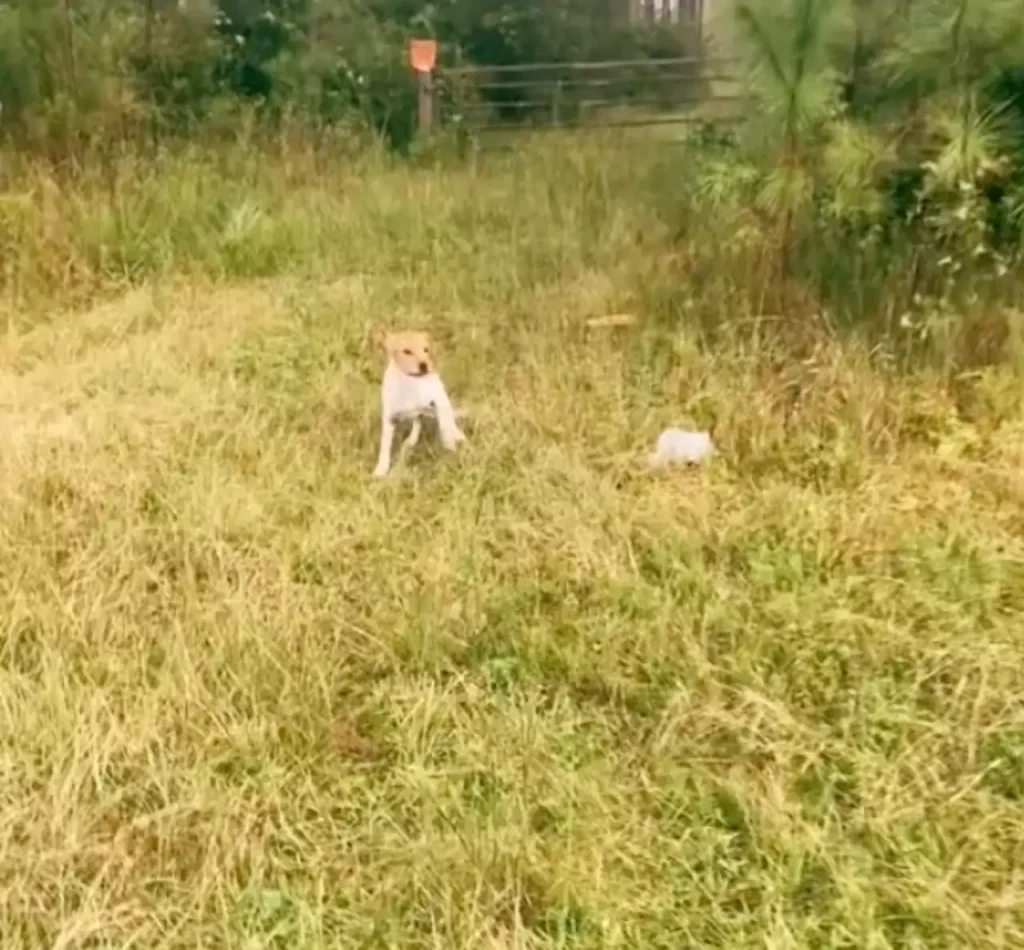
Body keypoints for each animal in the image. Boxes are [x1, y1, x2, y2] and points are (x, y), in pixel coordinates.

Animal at [374, 331, 466, 479]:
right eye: (407, 351)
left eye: (426, 350)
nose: (424, 365)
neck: (410, 382)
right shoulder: (389, 417)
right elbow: (385, 446)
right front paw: (381, 470)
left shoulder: (439, 400)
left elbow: (445, 427)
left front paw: (450, 445)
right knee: (417, 423)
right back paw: (410, 441)